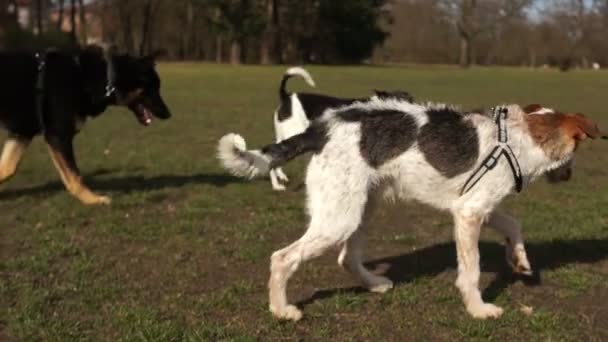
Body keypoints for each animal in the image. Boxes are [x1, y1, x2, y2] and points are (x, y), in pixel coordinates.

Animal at [0, 46, 170, 204]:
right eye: (153, 87)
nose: (169, 114)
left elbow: (7, 168)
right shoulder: (58, 136)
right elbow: (75, 176)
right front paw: (93, 200)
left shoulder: (22, 134)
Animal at [217, 99, 604, 320]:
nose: (568, 176)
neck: (518, 136)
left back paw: (374, 285)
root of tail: (320, 129)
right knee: (282, 258)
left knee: (347, 258)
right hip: (338, 218)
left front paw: (521, 262)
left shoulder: (477, 205)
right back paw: (282, 311)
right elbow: (472, 271)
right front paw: (479, 310)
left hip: (361, 209)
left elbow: (513, 224)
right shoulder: (468, 215)